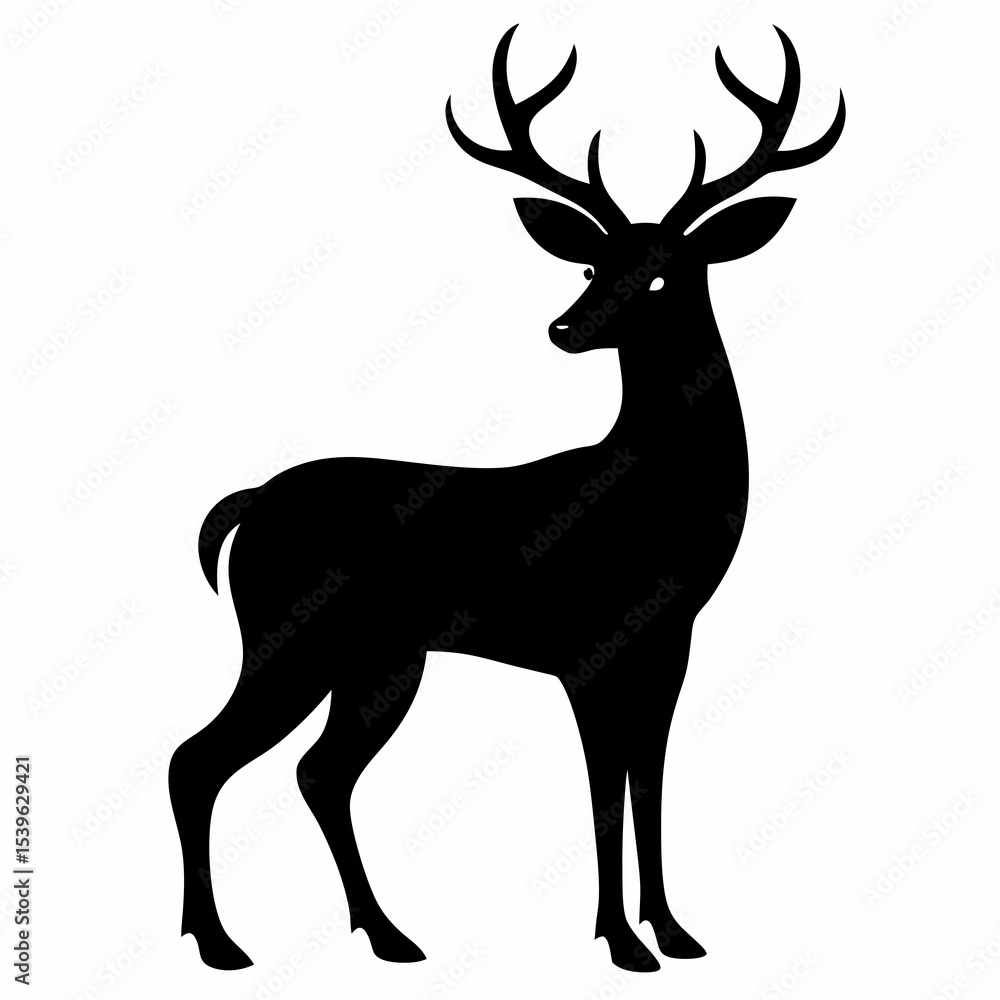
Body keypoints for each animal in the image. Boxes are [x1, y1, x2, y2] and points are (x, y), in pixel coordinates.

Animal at [168, 23, 845, 974]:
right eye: (594, 260)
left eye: (665, 274)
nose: (564, 327)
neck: (658, 497)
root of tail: (249, 504)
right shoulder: (590, 646)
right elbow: (603, 789)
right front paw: (621, 944)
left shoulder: (669, 646)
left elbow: (650, 783)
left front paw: (676, 933)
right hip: (289, 636)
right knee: (199, 759)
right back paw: (222, 944)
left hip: (378, 657)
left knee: (317, 772)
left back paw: (387, 934)